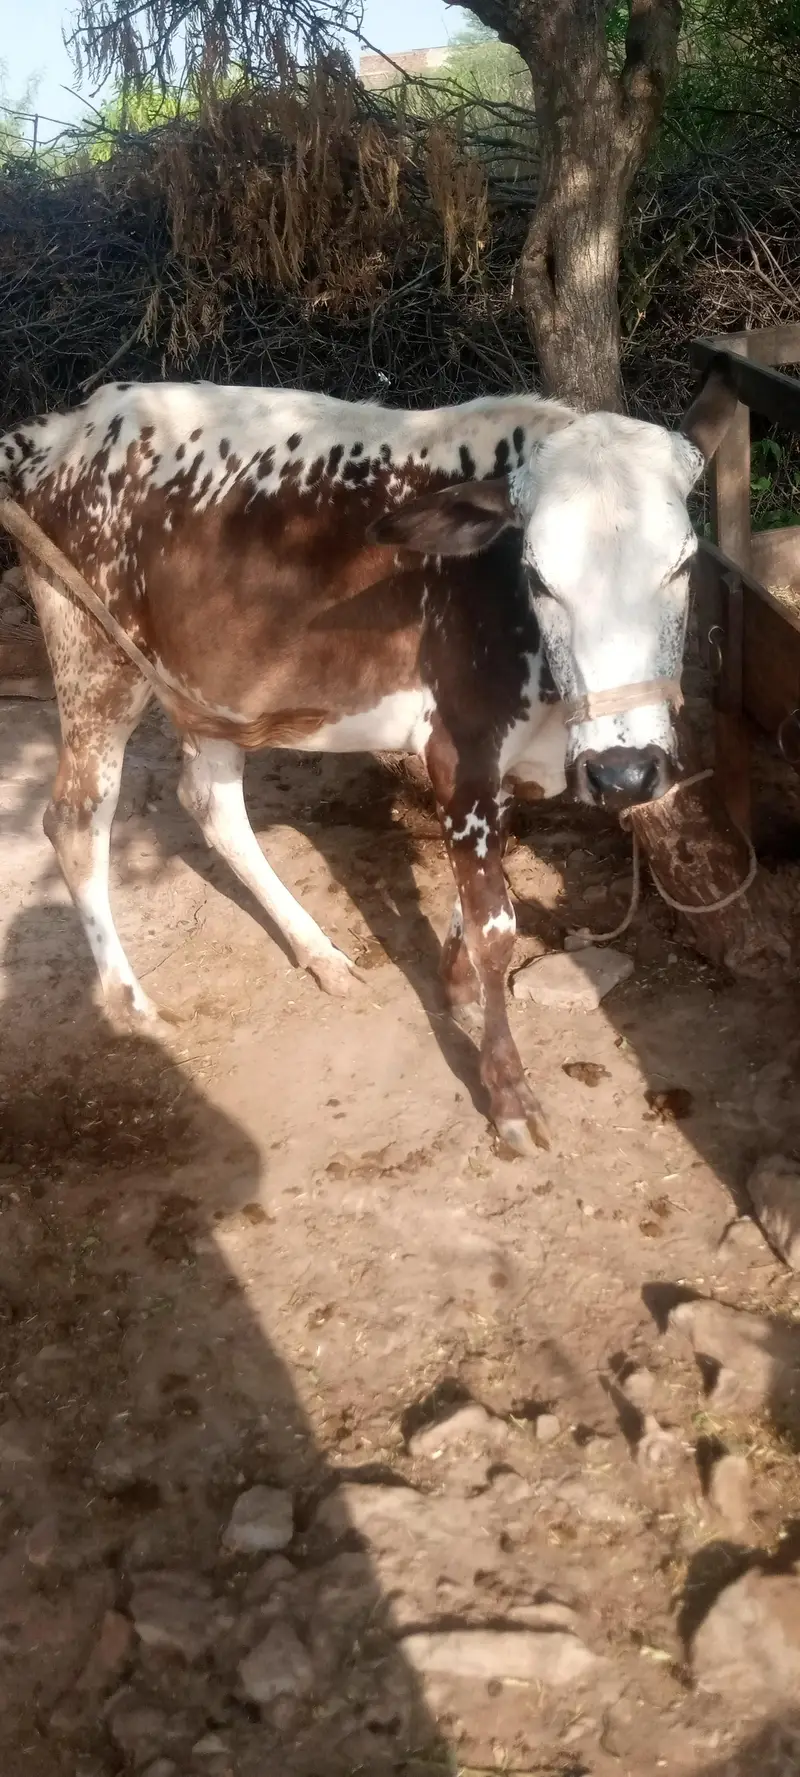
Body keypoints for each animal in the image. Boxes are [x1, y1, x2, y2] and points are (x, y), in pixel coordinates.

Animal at [0, 367, 736, 1154]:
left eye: (683, 564)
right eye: (538, 577)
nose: (623, 772)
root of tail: (67, 425)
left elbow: (473, 902)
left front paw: (457, 991)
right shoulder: (460, 750)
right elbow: (495, 925)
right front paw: (508, 1092)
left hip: (207, 683)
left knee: (210, 802)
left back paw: (318, 952)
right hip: (93, 659)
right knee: (76, 820)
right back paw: (132, 1001)